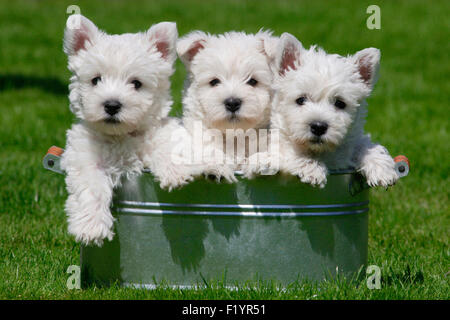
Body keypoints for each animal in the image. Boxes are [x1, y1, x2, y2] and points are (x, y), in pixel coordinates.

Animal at [59, 15, 178, 245]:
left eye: (136, 83)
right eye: (96, 80)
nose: (112, 105)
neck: (120, 136)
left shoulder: (155, 130)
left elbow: (166, 141)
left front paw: (174, 172)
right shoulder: (84, 157)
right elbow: (92, 188)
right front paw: (92, 229)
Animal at [151, 30, 278, 189]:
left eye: (253, 81)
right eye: (214, 82)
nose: (232, 103)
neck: (233, 136)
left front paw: (261, 162)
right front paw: (216, 168)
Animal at [268, 33, 398, 188]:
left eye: (340, 103)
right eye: (300, 100)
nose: (318, 127)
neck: (322, 152)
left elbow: (364, 146)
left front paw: (382, 169)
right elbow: (290, 152)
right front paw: (312, 170)